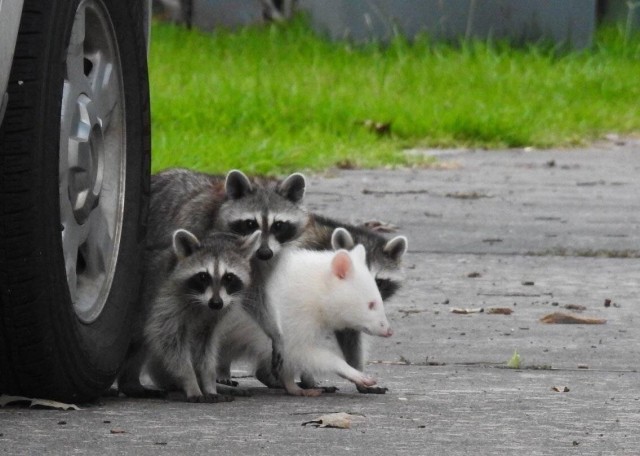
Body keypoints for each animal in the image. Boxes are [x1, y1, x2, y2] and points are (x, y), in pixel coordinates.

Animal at [142, 230, 258, 400]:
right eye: (203, 276)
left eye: (229, 277)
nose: (216, 303)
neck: (202, 303)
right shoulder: (167, 301)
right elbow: (170, 342)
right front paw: (190, 381)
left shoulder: (217, 314)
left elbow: (205, 347)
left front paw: (208, 383)